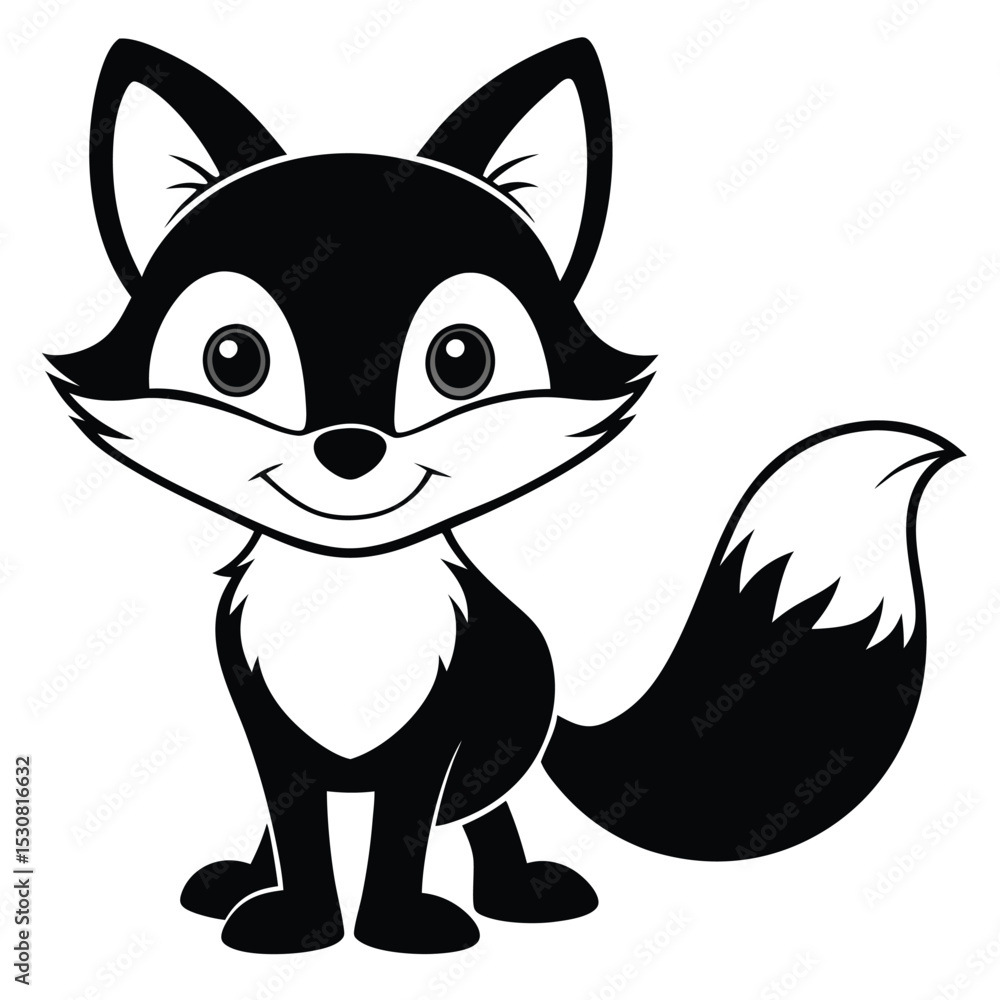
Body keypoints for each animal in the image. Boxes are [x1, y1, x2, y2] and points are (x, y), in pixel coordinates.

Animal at [49, 38, 960, 955]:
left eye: (460, 359)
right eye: (233, 359)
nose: (350, 448)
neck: (348, 592)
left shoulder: (436, 734)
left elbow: (403, 833)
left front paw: (398, 926)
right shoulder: (273, 732)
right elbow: (295, 826)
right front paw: (296, 922)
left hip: (489, 756)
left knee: (485, 822)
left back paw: (516, 893)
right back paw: (243, 880)